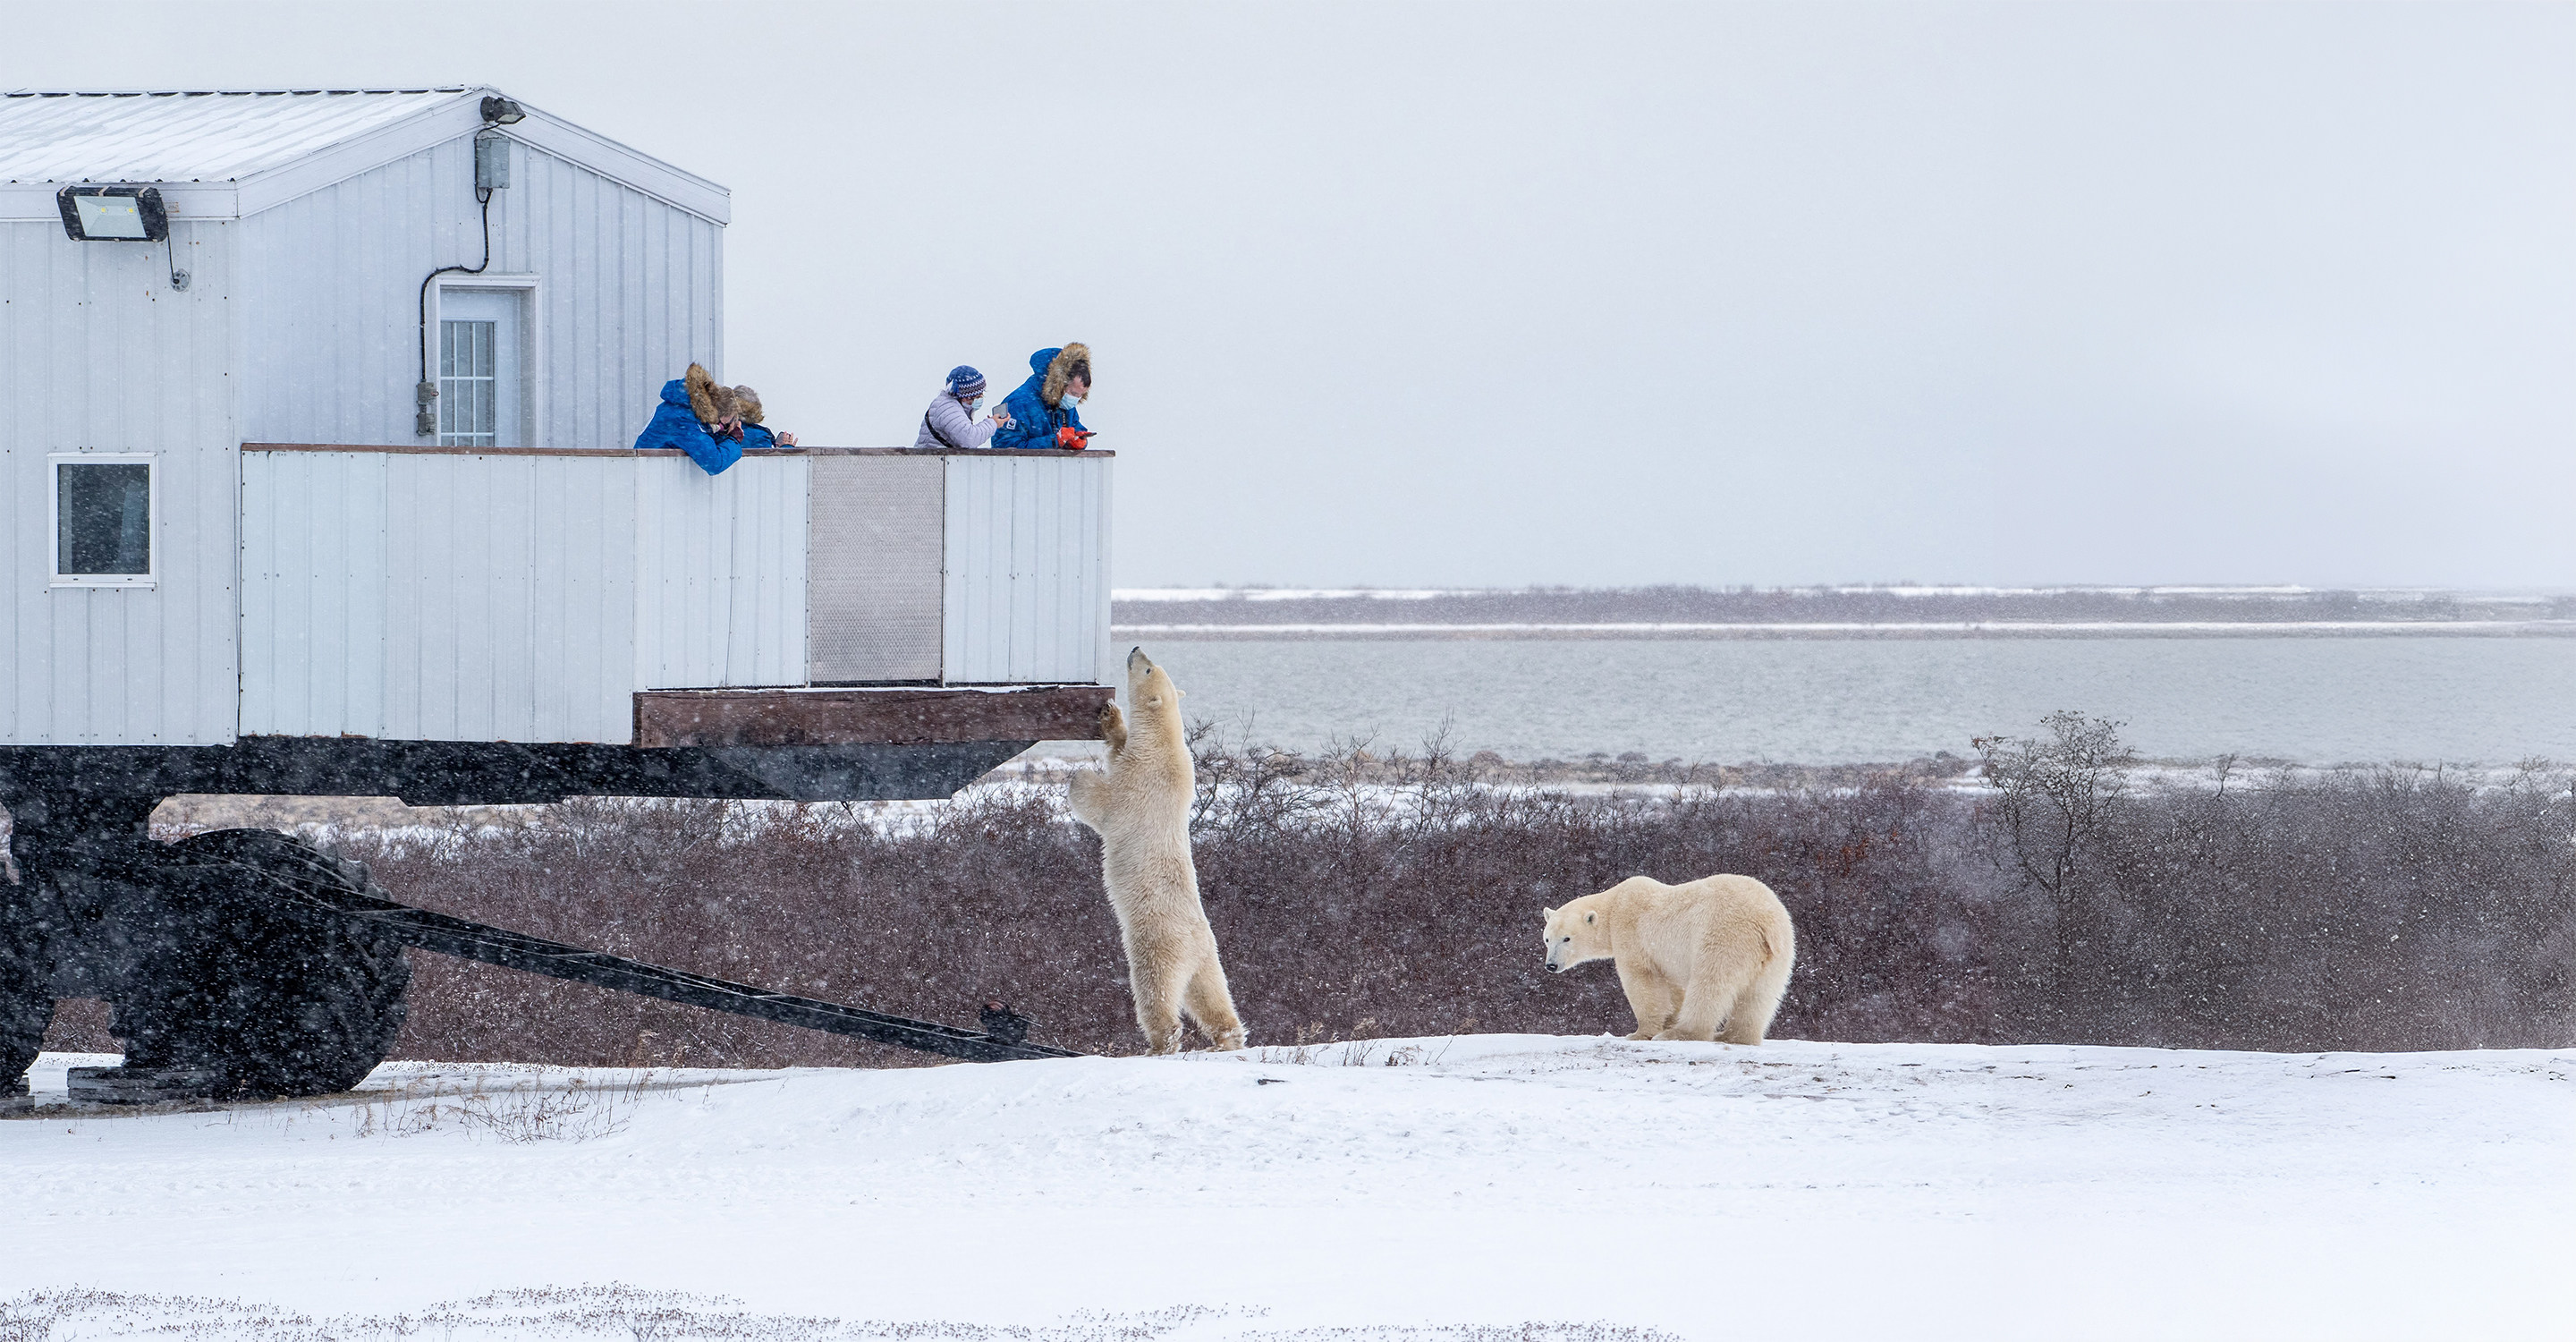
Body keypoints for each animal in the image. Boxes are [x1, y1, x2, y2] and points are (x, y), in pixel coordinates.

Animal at [1067, 647, 1248, 1054]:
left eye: (1149, 669)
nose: (1135, 649)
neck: (1165, 743)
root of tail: (1194, 942)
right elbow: (1118, 748)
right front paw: (1111, 717)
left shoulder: (1141, 781)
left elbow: (1103, 805)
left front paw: (1077, 776)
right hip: (1209, 958)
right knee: (1212, 993)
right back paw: (1228, 1038)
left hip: (1159, 946)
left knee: (1156, 993)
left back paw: (1158, 1043)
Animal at [1541, 873, 1796, 1045]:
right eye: (1547, 939)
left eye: (1567, 939)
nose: (1551, 965)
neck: (1614, 905)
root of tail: (1765, 921)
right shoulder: (1665, 958)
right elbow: (1672, 987)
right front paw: (1668, 1021)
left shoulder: (1631, 934)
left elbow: (1642, 981)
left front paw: (1641, 1033)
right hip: (1778, 954)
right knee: (1760, 995)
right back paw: (1734, 1036)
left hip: (1723, 937)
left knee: (1709, 985)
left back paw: (1681, 1034)